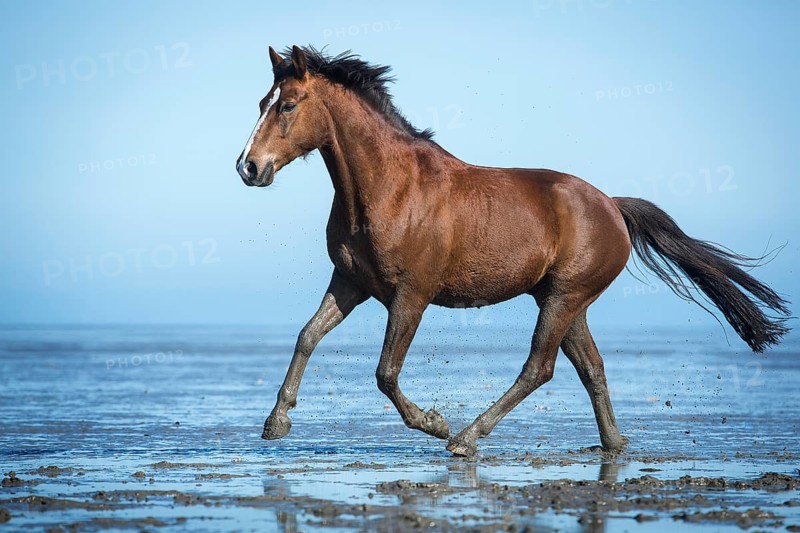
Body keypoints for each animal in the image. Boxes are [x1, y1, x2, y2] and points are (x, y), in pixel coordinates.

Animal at [235, 45, 790, 457]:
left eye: (287, 105)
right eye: (262, 101)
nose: (248, 167)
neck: (390, 188)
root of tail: (612, 205)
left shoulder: (411, 295)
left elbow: (385, 373)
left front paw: (435, 422)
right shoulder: (351, 282)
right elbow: (307, 336)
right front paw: (276, 422)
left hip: (564, 298)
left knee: (539, 368)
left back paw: (466, 437)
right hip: (565, 301)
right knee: (590, 368)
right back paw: (613, 443)